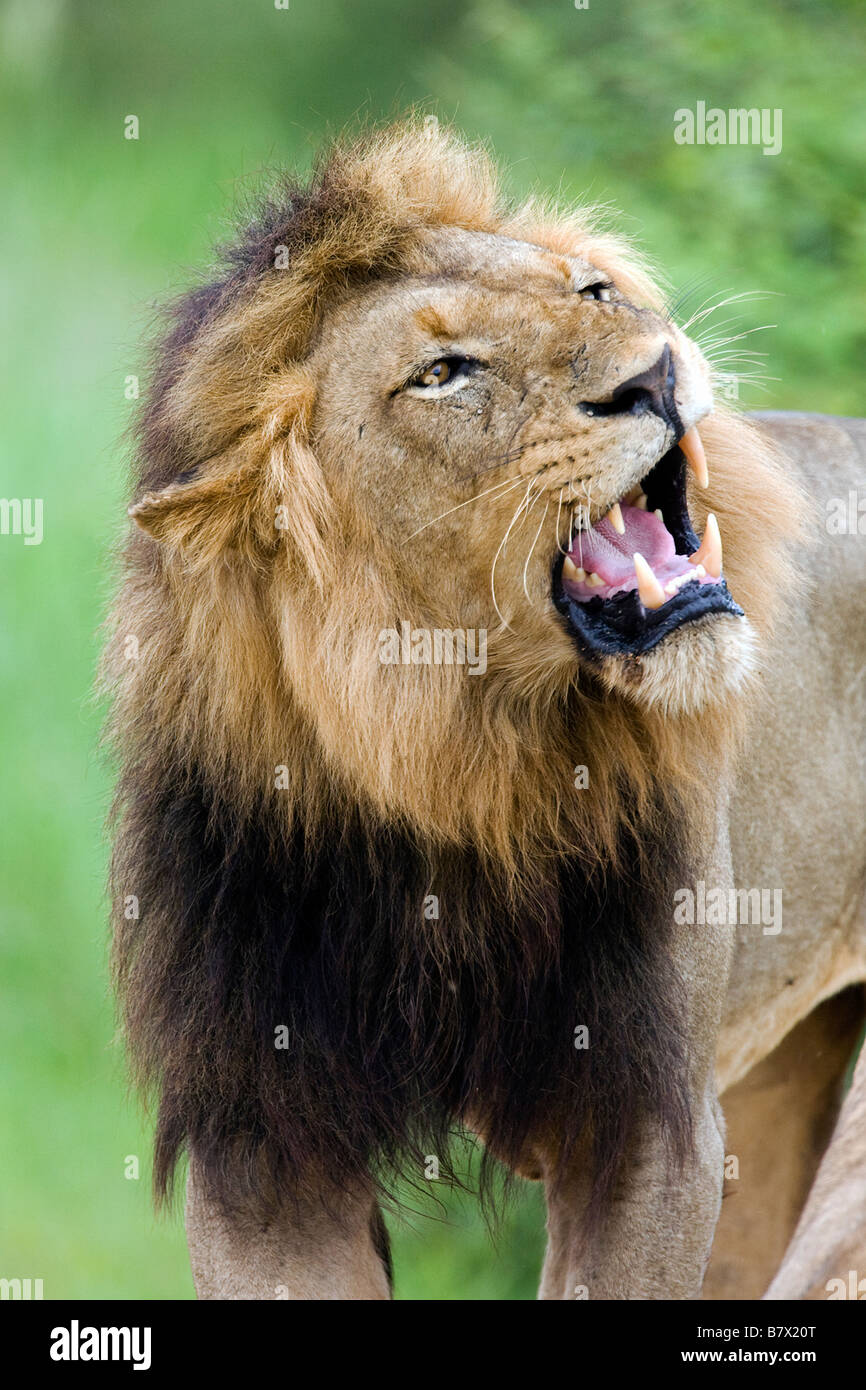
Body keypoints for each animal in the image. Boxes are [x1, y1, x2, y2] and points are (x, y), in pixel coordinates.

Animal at [105, 119, 866, 1300]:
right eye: (442, 373)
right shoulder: (259, 1136)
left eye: (596, 293)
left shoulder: (648, 1124)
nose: (656, 373)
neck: (454, 765)